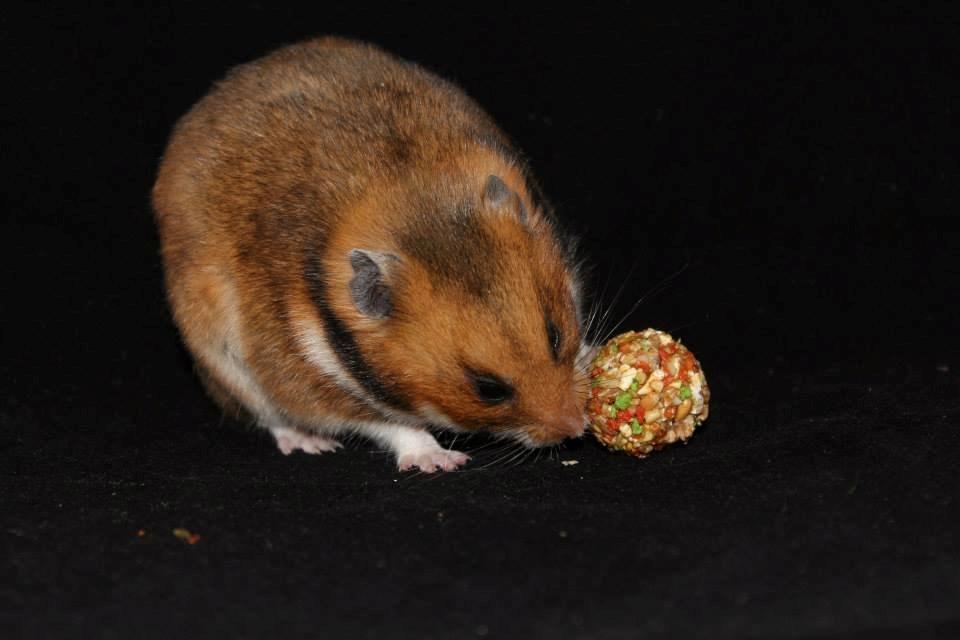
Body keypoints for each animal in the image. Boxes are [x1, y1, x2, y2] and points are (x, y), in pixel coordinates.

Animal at [152, 37, 590, 472]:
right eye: (488, 389)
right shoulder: (307, 382)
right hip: (223, 362)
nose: (577, 428)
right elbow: (387, 423)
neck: (410, 203)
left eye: (554, 336)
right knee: (271, 418)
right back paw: (312, 443)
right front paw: (441, 461)